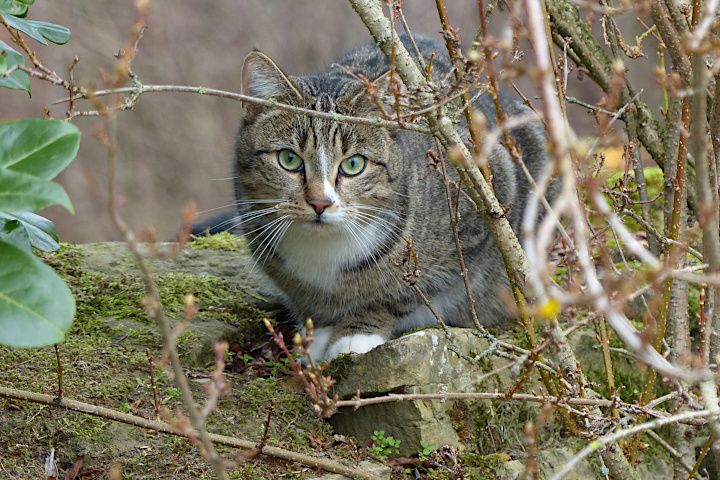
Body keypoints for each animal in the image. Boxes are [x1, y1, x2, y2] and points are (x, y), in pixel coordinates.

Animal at [217, 34, 556, 360]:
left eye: (354, 164)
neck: (322, 250)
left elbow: (400, 294)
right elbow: (307, 299)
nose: (320, 202)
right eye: (289, 159)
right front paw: (320, 332)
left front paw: (355, 333)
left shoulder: (483, 202)